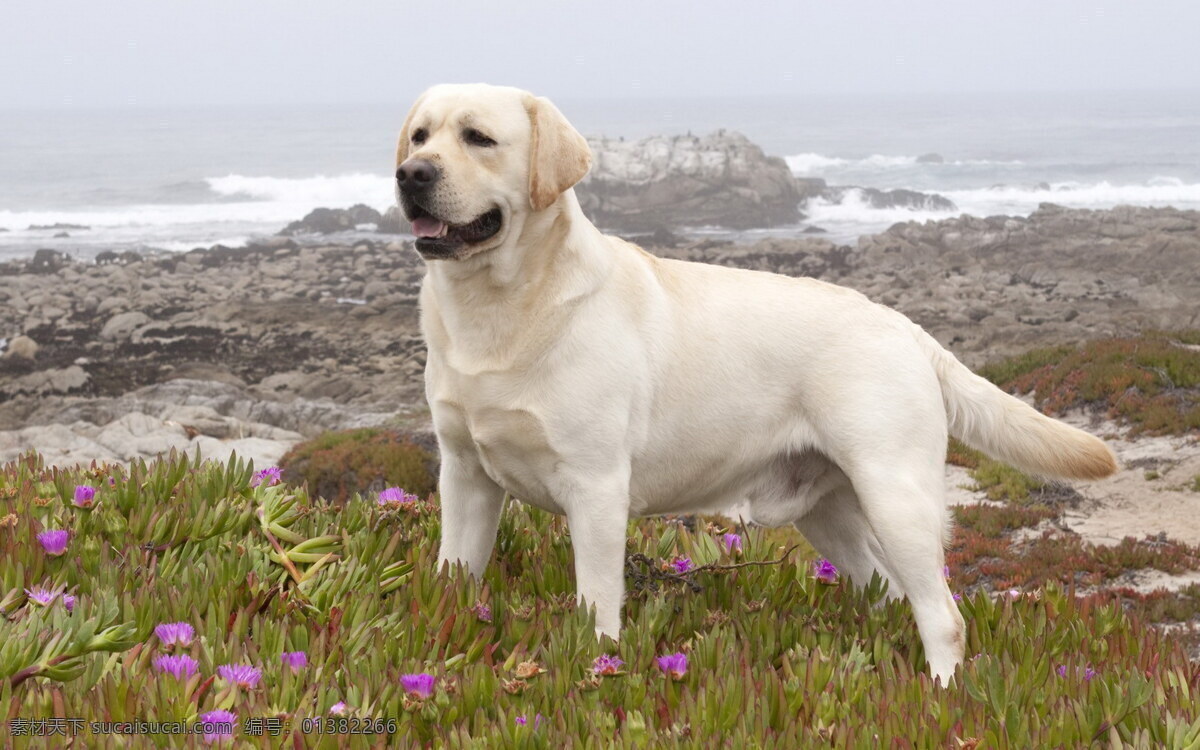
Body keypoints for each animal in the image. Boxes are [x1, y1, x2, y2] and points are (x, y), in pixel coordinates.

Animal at [398, 83, 1118, 686]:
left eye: (479, 138)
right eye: (420, 135)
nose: (411, 175)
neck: (500, 309)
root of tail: (908, 328)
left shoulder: (596, 487)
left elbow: (597, 603)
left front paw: (599, 664)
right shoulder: (465, 476)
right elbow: (454, 573)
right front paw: (444, 633)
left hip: (897, 496)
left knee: (944, 613)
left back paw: (940, 696)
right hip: (830, 514)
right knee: (889, 592)